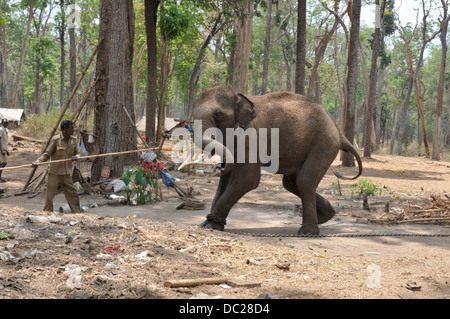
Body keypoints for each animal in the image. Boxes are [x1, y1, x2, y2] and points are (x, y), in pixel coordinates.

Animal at [193, 85, 362, 235]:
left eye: (218, 114)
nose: (219, 166)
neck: (240, 97)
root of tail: (338, 131)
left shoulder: (251, 138)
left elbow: (247, 179)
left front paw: (211, 225)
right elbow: (225, 181)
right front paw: (207, 224)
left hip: (323, 144)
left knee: (304, 181)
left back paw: (308, 232)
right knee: (291, 183)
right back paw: (327, 216)